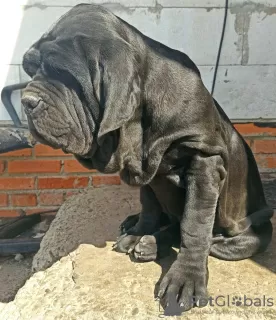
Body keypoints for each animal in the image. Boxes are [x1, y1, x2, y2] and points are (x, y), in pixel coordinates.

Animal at [21, 3, 274, 316]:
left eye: (63, 74)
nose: (26, 101)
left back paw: (156, 244)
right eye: (30, 69)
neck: (137, 123)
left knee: (216, 237)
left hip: (248, 231)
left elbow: (195, 224)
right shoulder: (143, 167)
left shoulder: (205, 158)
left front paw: (186, 277)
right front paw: (140, 231)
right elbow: (149, 204)